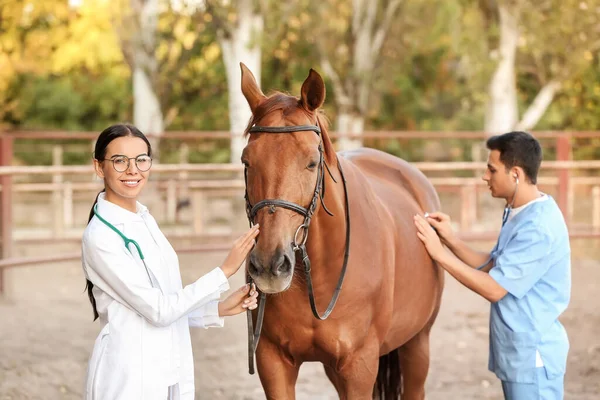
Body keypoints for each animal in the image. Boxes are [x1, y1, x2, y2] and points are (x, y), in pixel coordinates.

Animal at [240, 61, 446, 398]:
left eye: (312, 162)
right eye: (246, 162)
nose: (270, 265)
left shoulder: (359, 366)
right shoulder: (273, 362)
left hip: (417, 343)